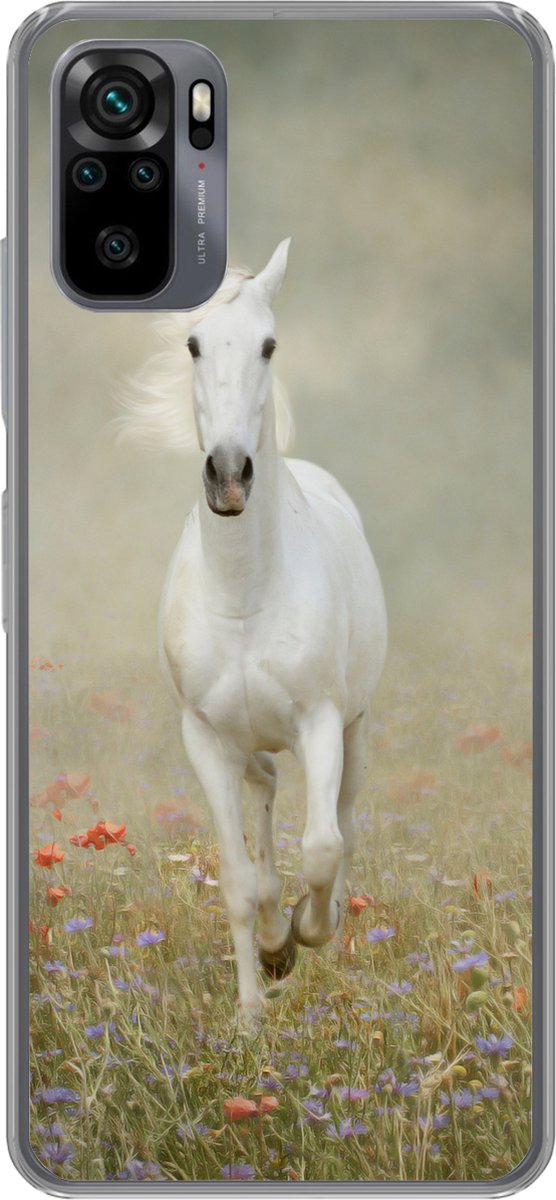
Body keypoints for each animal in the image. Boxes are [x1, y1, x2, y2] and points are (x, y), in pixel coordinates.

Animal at [119, 239, 387, 1028]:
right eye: (192, 344)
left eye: (269, 345)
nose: (231, 474)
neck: (245, 598)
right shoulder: (205, 741)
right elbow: (238, 882)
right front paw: (253, 1001)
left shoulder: (322, 722)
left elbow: (324, 847)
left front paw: (304, 933)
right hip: (246, 742)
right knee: (264, 790)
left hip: (356, 729)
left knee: (344, 821)